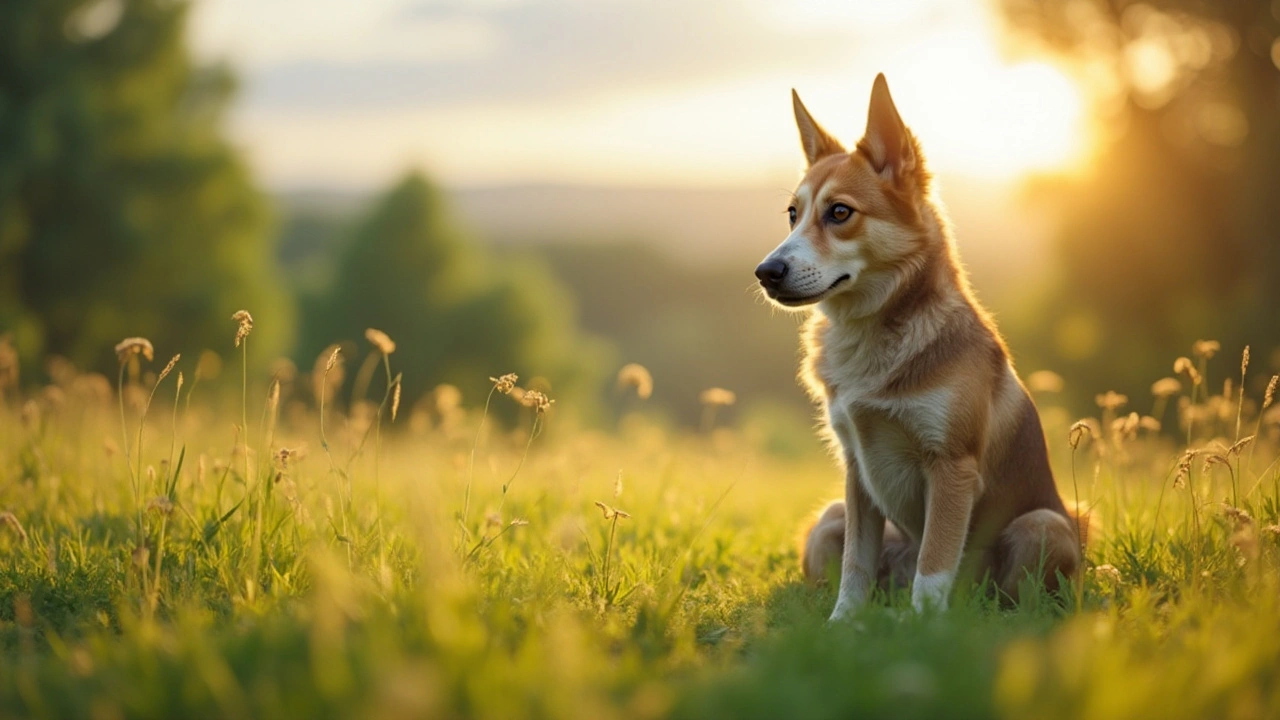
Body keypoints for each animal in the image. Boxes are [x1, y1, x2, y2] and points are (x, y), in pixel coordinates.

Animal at [757, 77, 1080, 617]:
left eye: (839, 212)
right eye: (792, 215)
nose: (766, 272)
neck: (874, 335)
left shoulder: (951, 466)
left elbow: (934, 567)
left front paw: (925, 627)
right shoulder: (857, 470)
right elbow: (855, 566)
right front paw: (842, 624)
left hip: (1044, 526)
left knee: (1010, 594)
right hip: (828, 520)